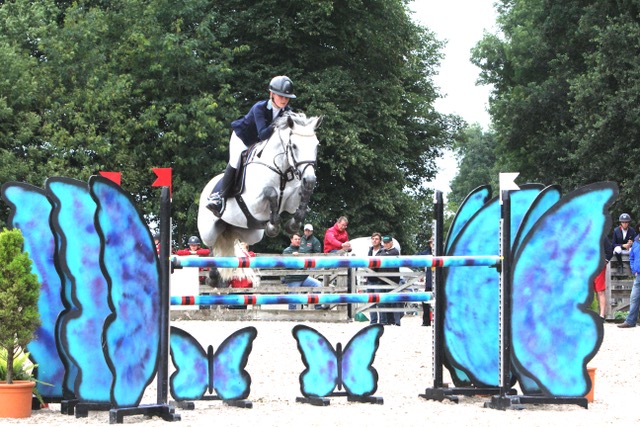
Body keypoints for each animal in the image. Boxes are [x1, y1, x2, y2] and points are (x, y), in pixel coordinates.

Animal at [197, 112, 321, 278]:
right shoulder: (253, 203)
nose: (310, 180)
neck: (281, 170)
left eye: (316, 145)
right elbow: (271, 192)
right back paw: (213, 276)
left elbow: (302, 197)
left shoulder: (291, 202)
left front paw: (292, 224)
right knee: (211, 246)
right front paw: (273, 226)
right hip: (208, 230)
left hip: (251, 233)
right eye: (294, 146)